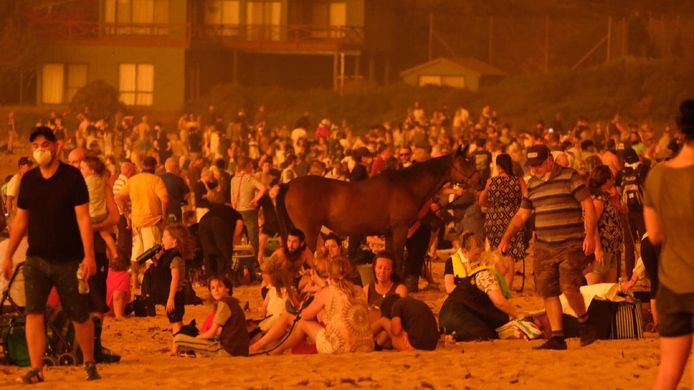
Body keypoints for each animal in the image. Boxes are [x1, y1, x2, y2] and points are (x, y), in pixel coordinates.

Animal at [276, 144, 478, 274]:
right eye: (466, 161)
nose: (481, 180)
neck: (407, 185)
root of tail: (289, 184)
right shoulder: (400, 229)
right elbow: (398, 258)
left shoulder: (389, 233)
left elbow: (390, 257)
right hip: (308, 232)